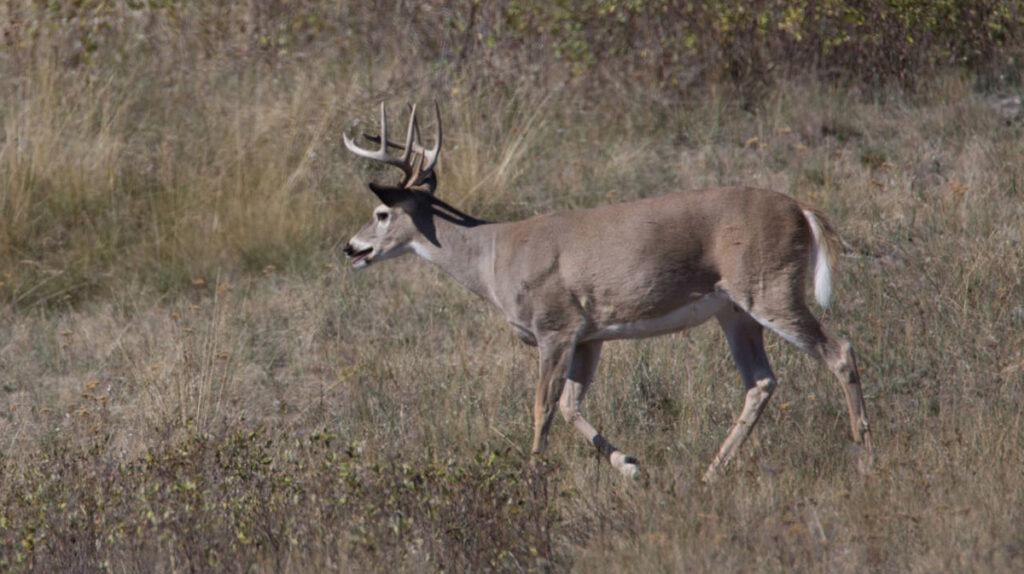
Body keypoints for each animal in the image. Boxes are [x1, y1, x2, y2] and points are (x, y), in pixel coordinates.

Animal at [342, 101, 872, 478]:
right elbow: (570, 405)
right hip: (735, 311)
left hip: (770, 288)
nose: (351, 247)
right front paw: (630, 465)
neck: (493, 259)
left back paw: (865, 455)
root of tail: (803, 210)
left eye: (381, 213)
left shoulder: (555, 325)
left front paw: (533, 479)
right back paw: (711, 472)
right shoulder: (590, 334)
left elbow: (542, 406)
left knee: (840, 350)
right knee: (761, 381)